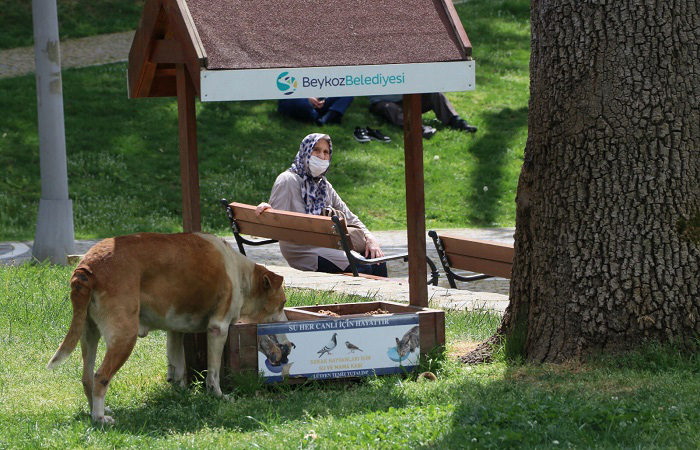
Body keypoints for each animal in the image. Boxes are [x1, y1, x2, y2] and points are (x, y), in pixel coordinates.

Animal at [45, 234, 284, 424]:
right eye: (283, 303)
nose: (285, 327)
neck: (239, 273)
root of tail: (87, 267)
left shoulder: (175, 330)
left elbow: (176, 366)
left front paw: (180, 392)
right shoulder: (218, 329)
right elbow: (213, 373)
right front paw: (218, 396)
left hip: (88, 334)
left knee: (87, 378)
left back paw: (95, 411)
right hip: (124, 338)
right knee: (100, 377)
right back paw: (100, 418)